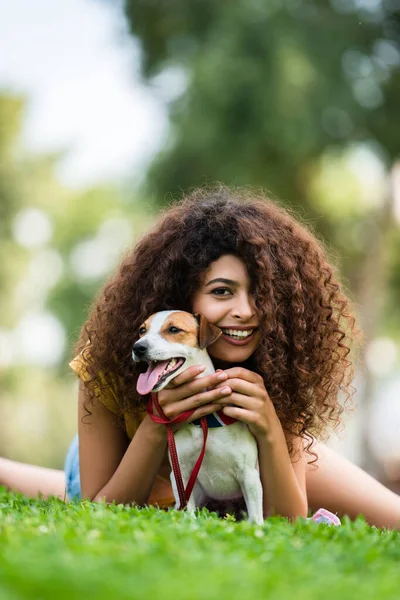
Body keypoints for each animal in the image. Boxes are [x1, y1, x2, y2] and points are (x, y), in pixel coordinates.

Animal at [132, 312, 266, 524]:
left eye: (174, 329)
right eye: (142, 330)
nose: (138, 347)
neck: (204, 421)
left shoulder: (249, 475)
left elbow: (255, 517)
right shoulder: (180, 474)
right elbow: (188, 509)